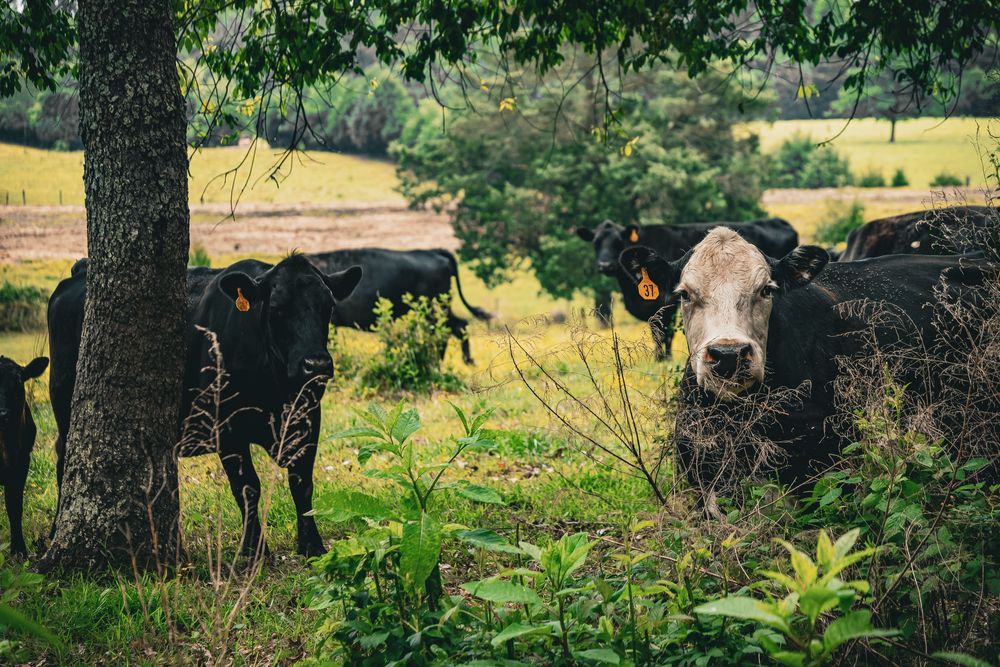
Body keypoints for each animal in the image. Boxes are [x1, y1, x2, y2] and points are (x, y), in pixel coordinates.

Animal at [48, 254, 362, 557]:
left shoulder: (308, 418)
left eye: (328, 307)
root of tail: (80, 271)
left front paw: (312, 545)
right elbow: (247, 487)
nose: (316, 364)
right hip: (66, 405)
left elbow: (302, 484)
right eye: (277, 309)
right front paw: (254, 550)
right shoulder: (228, 428)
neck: (275, 390)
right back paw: (55, 530)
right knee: (66, 459)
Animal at [576, 219, 798, 358]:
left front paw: (662, 359)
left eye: (617, 242)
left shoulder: (666, 306)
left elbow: (663, 334)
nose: (604, 265)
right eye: (596, 242)